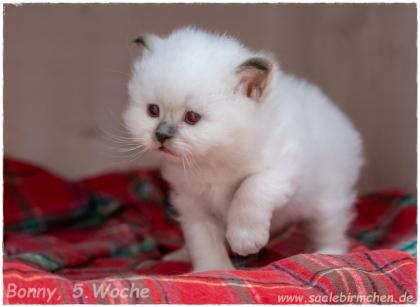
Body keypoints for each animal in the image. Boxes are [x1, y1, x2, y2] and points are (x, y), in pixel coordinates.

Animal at [124, 26, 364, 272]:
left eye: (192, 118)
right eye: (153, 111)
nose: (161, 135)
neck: (212, 159)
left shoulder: (282, 170)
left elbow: (250, 190)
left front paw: (245, 239)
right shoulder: (193, 204)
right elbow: (203, 241)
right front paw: (212, 271)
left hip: (327, 202)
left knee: (331, 232)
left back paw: (328, 255)